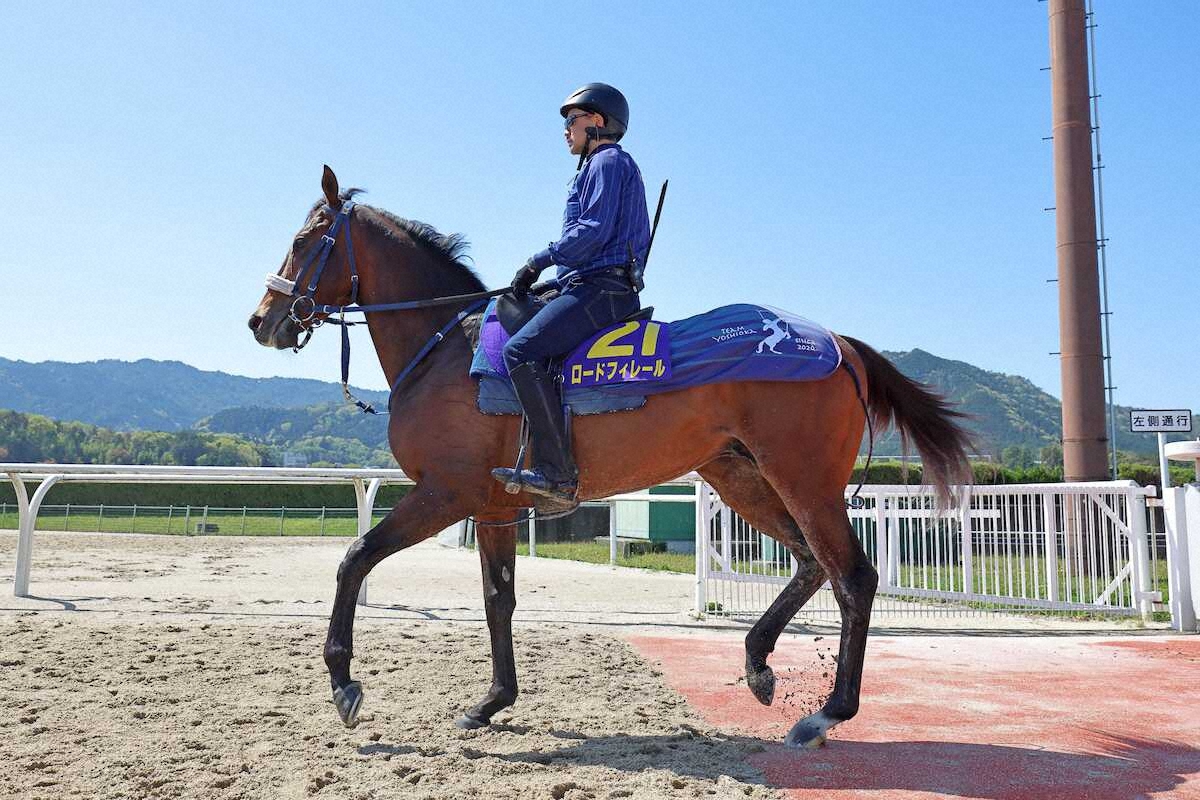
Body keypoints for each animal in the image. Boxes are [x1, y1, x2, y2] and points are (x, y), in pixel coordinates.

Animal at [247, 166, 973, 749]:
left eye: (307, 239)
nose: (262, 320)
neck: (447, 349)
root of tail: (839, 344)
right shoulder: (492, 506)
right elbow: (498, 600)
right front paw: (492, 701)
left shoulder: (444, 493)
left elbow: (354, 559)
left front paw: (343, 682)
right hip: (743, 477)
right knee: (809, 563)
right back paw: (759, 662)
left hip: (804, 480)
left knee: (853, 577)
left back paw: (827, 712)